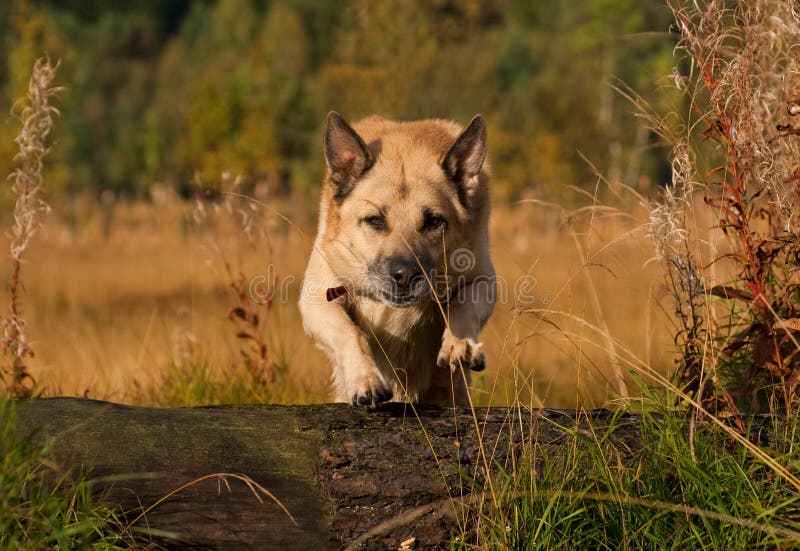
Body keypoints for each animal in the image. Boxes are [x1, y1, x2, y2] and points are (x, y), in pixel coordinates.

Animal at [300, 112, 494, 408]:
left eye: (434, 221)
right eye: (374, 220)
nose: (405, 276)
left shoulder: (484, 280)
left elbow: (463, 304)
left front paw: (458, 345)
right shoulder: (317, 298)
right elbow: (350, 333)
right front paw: (366, 380)